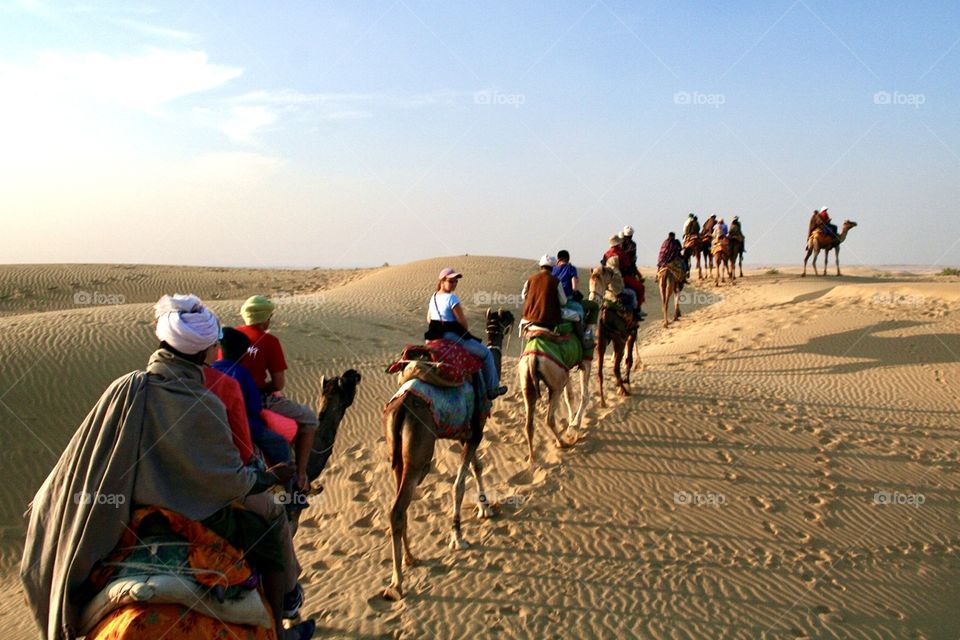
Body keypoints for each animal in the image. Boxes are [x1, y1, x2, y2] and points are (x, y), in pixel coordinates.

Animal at [382, 309, 514, 601]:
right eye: (504, 317)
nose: (517, 320)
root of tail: (401, 407)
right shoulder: (476, 432)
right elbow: (458, 485)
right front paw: (458, 536)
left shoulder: (467, 434)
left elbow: (477, 466)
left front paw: (485, 508)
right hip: (420, 453)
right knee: (398, 508)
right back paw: (397, 583)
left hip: (397, 455)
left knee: (400, 504)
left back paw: (411, 558)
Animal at [517, 330, 590, 463]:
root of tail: (532, 359)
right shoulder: (586, 359)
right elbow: (584, 396)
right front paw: (574, 426)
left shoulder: (568, 366)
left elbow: (569, 396)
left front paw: (571, 425)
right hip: (556, 384)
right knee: (549, 419)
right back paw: (562, 443)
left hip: (527, 381)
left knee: (529, 424)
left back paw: (531, 459)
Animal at [589, 266, 639, 407]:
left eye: (597, 281)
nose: (593, 299)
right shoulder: (629, 334)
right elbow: (628, 359)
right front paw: (626, 382)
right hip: (619, 339)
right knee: (616, 367)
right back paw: (624, 390)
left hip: (602, 341)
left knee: (600, 372)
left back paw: (603, 401)